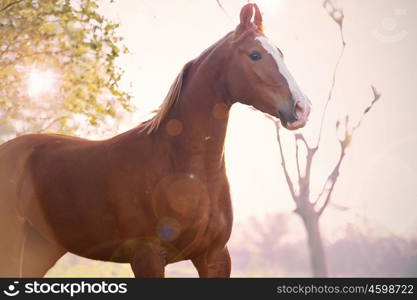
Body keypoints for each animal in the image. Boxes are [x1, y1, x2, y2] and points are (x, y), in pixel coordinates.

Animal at [0, 3, 308, 278]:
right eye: (255, 55)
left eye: (280, 53)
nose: (302, 108)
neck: (184, 169)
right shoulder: (147, 257)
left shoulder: (215, 256)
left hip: (41, 248)